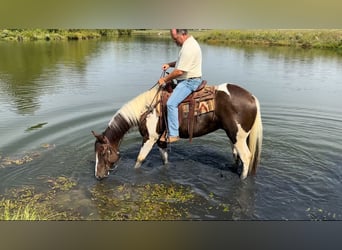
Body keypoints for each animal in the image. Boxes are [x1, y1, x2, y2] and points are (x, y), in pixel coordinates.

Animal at [91, 83, 262, 181]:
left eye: (103, 152)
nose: (98, 176)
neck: (146, 108)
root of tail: (252, 97)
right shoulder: (160, 140)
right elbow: (165, 159)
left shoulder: (149, 138)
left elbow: (139, 160)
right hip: (233, 136)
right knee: (237, 155)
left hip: (238, 137)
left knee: (246, 157)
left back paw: (242, 179)